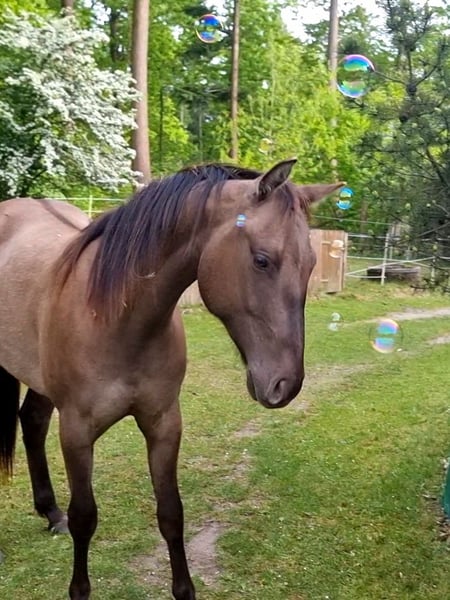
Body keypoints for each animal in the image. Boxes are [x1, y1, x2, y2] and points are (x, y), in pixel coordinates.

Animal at [0, 159, 343, 599]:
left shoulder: (164, 424)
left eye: (312, 265)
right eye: (262, 260)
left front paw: (185, 589)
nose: (286, 384)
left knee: (33, 422)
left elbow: (171, 513)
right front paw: (79, 589)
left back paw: (49, 510)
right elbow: (85, 517)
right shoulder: (76, 432)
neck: (119, 317)